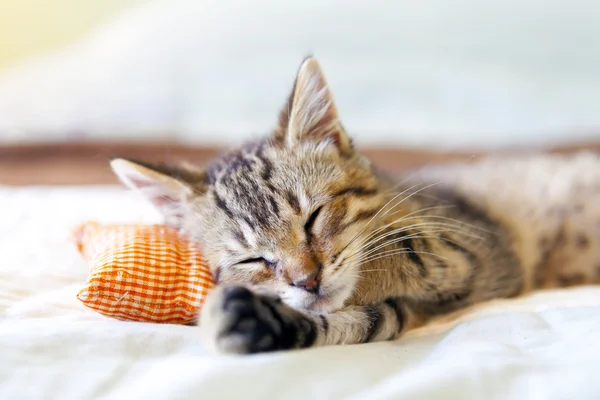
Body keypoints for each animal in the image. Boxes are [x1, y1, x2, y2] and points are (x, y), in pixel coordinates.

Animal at [109, 57, 600, 354]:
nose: (307, 280)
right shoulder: (396, 311)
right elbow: (356, 320)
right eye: (253, 259)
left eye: (313, 219)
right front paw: (263, 320)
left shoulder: (473, 247)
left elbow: (400, 253)